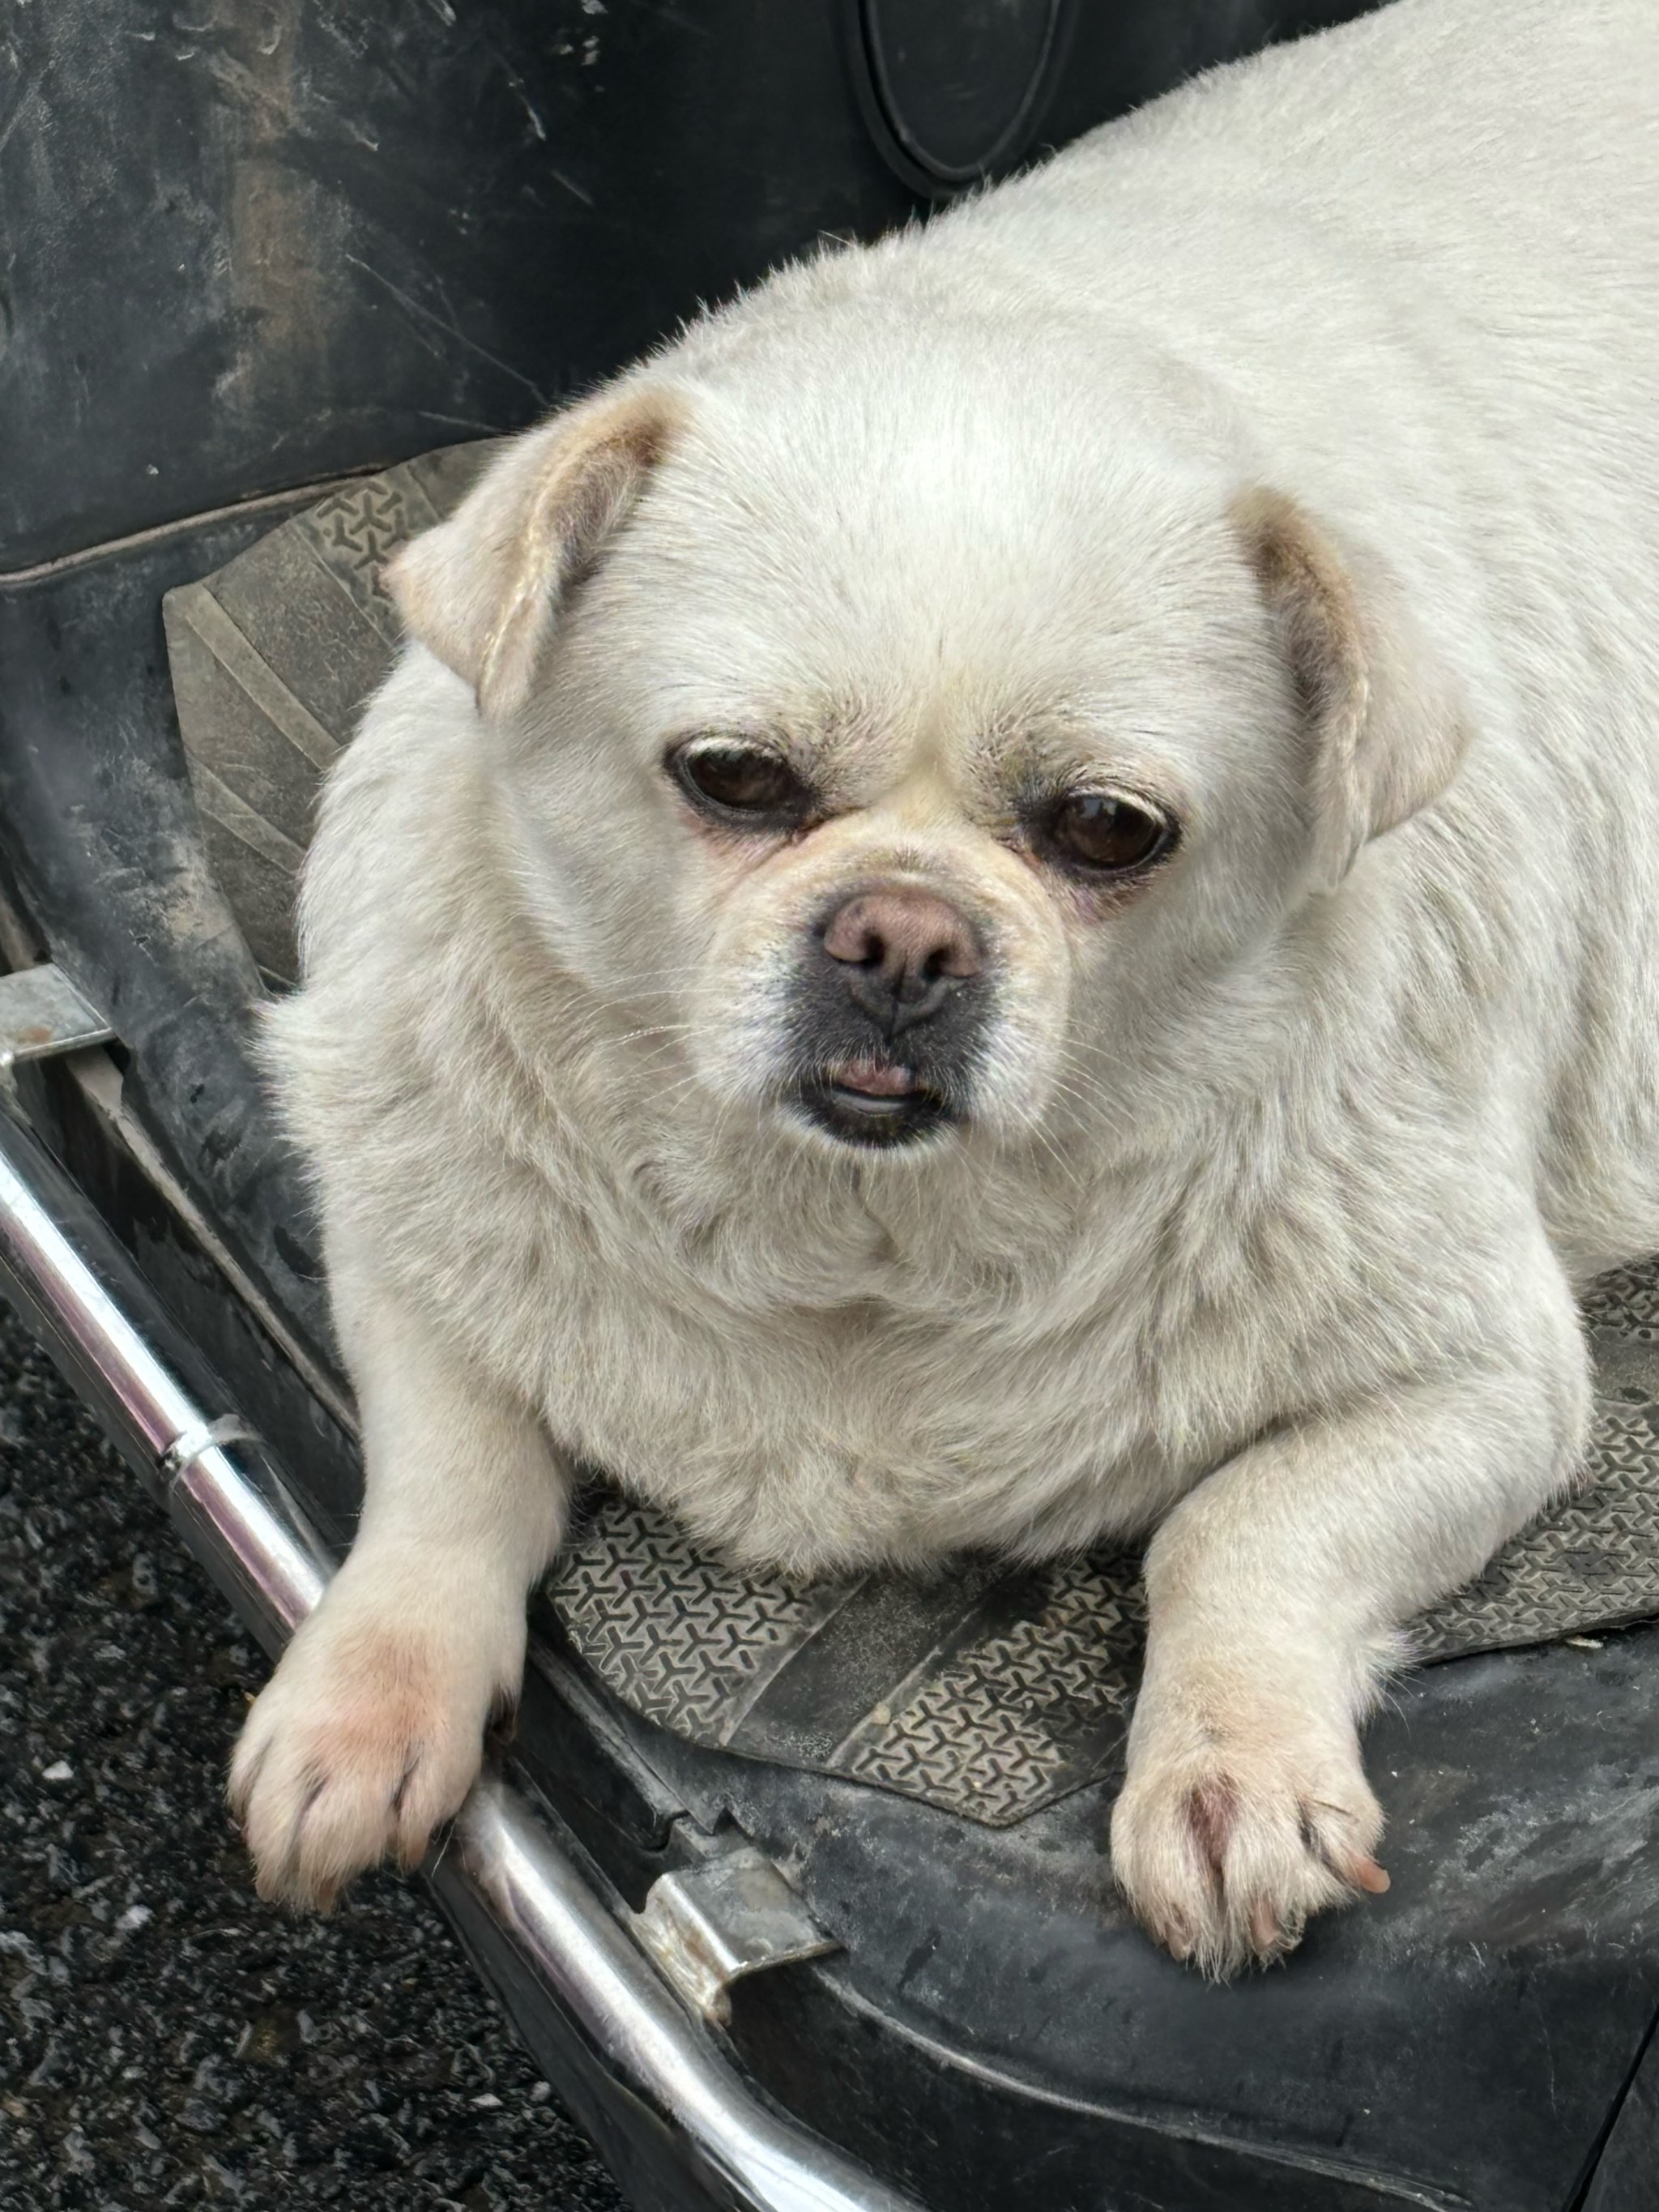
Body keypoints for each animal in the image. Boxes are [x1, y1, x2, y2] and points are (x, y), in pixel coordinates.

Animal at [231, 0, 1659, 1973]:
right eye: (733, 779)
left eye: (1109, 831)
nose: (902, 934)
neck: (859, 1242)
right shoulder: (411, 1255)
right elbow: (446, 1490)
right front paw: (364, 1710)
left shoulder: (1483, 1391)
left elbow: (1239, 1527)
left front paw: (1227, 1770)